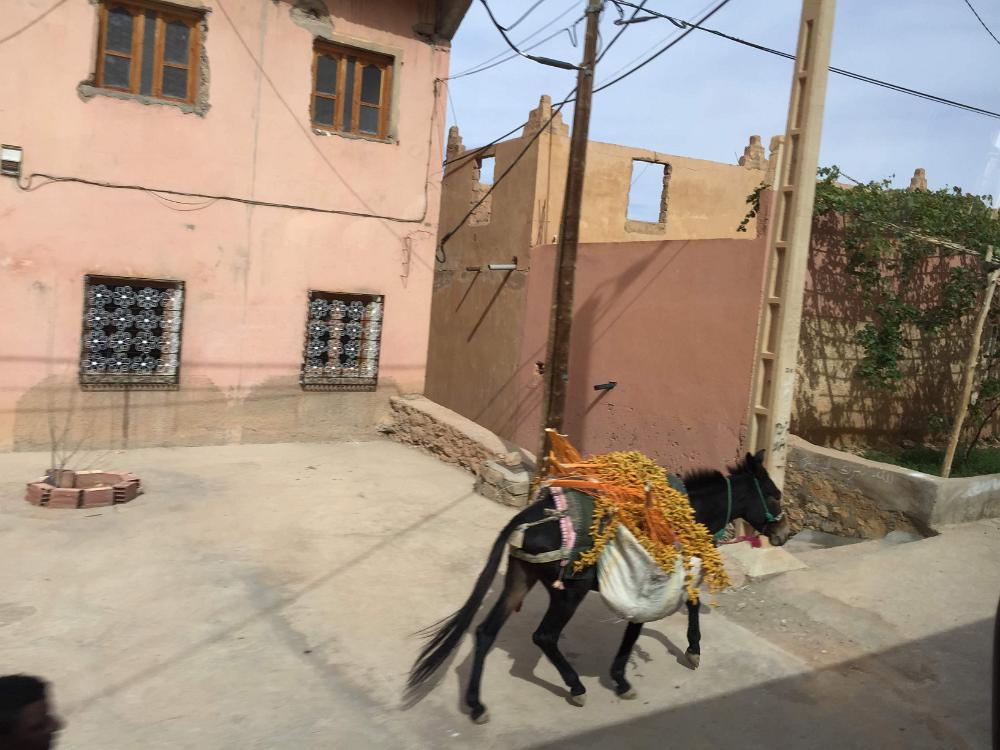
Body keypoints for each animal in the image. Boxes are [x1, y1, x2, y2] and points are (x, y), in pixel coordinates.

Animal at [407, 449, 791, 724]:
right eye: (773, 495)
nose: (785, 534)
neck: (683, 512)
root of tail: (525, 518)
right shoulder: (649, 584)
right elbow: (643, 626)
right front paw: (625, 678)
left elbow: (684, 607)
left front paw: (686, 652)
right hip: (568, 593)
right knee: (544, 636)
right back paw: (575, 686)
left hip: (520, 578)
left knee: (486, 632)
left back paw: (476, 705)